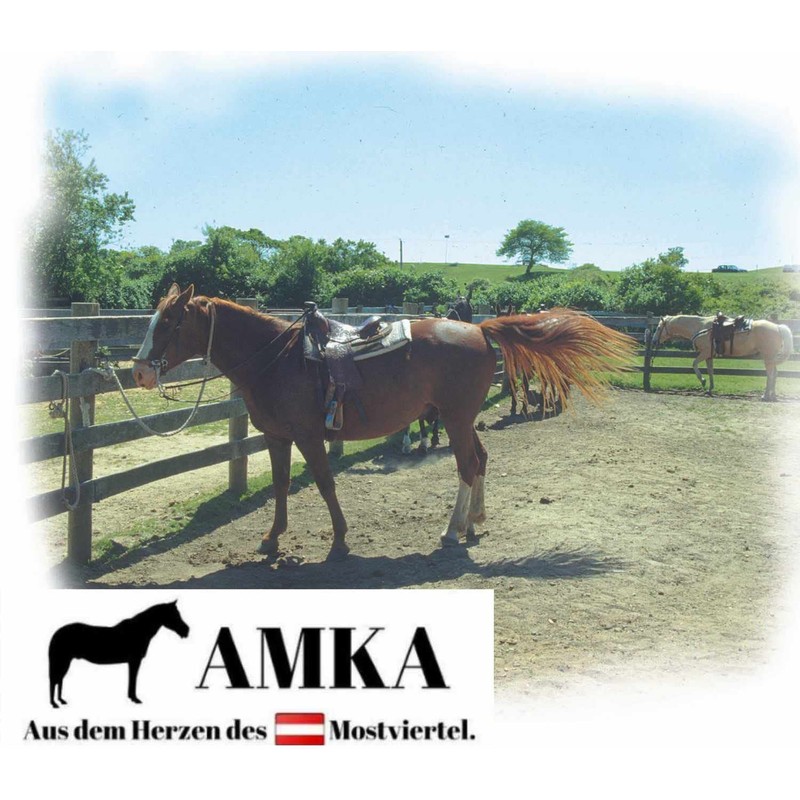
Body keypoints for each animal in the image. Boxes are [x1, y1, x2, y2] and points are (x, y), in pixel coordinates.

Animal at [48, 600, 189, 708]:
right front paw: (135, 699)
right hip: (62, 661)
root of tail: (56, 633)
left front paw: (132, 698)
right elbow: (133, 679)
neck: (138, 631)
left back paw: (61, 701)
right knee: (54, 680)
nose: (186, 630)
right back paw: (54, 704)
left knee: (59, 680)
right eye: (175, 615)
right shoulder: (134, 661)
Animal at [132, 284, 635, 560]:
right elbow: (279, 486)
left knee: (468, 465)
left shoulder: (309, 437)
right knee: (482, 459)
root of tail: (479, 329)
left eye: (170, 322)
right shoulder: (278, 438)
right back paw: (474, 521)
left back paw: (452, 530)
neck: (277, 358)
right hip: (462, 419)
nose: (138, 372)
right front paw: (272, 539)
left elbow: (324, 483)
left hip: (454, 419)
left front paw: (339, 540)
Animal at [653, 314, 794, 400]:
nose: (653, 341)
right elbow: (710, 371)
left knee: (770, 375)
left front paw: (702, 380)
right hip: (771, 358)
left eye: (659, 327)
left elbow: (694, 364)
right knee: (775, 374)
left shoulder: (704, 353)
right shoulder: (709, 356)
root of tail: (777, 327)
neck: (701, 327)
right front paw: (709, 389)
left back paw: (765, 396)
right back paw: (773, 396)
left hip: (767, 358)